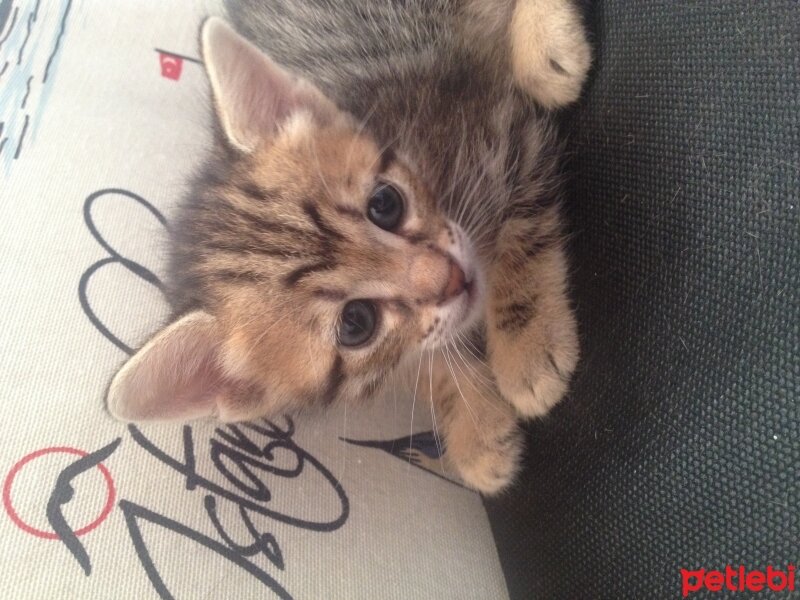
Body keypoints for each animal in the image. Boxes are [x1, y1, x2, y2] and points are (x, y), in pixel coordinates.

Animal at [109, 1, 592, 496]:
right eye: (356, 322)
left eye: (385, 203)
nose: (456, 278)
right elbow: (424, 359)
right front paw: (476, 430)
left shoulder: (504, 133)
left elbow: (523, 227)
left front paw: (527, 351)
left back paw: (547, 50)